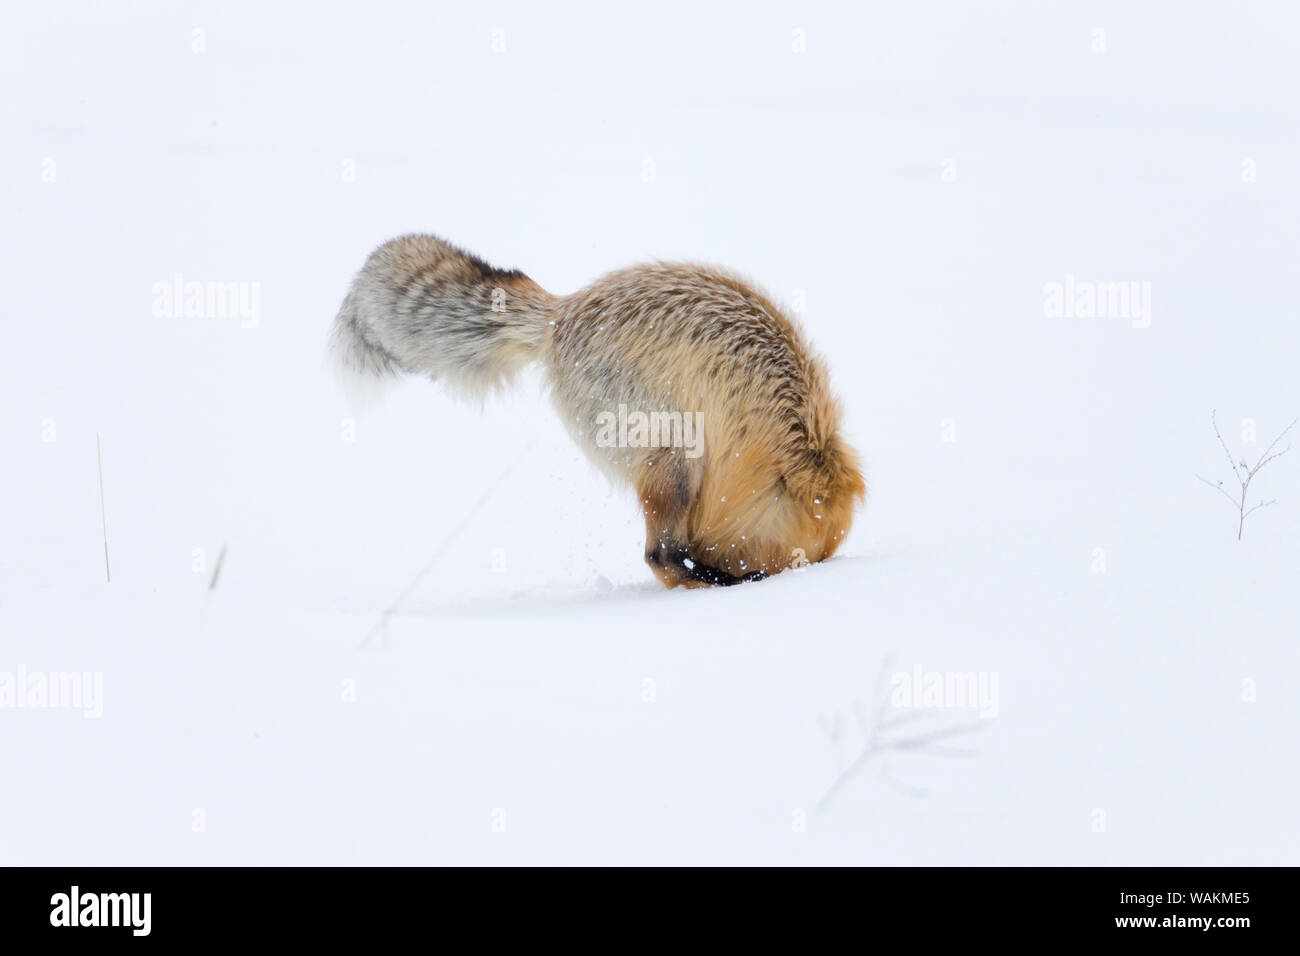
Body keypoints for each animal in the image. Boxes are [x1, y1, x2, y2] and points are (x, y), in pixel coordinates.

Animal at [331, 234, 865, 588]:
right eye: (804, 555)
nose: (800, 574)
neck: (781, 427)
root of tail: (562, 311)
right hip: (674, 450)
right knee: (661, 557)